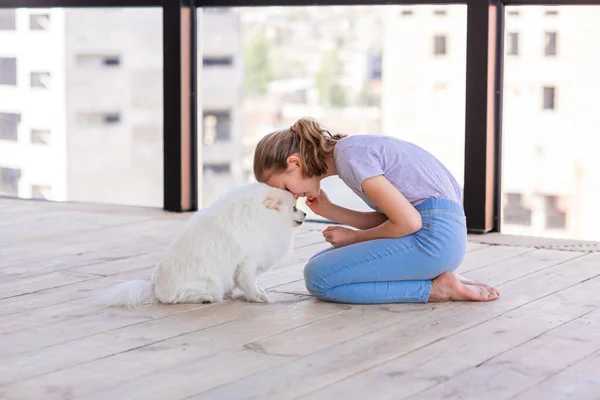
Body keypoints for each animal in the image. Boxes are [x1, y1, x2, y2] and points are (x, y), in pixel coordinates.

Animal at [101, 183, 304, 308]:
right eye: (294, 207)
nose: (305, 214)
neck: (265, 215)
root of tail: (154, 288)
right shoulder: (247, 262)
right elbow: (248, 282)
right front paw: (256, 296)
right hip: (211, 284)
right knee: (179, 298)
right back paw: (205, 299)